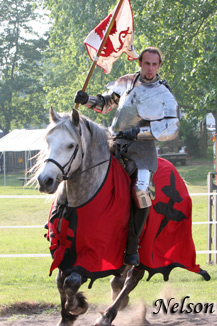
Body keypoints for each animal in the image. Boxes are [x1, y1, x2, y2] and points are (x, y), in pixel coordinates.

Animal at [35, 109, 142, 326]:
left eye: (71, 145)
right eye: (48, 141)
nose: (45, 180)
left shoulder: (93, 254)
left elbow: (71, 282)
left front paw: (76, 307)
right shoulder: (64, 250)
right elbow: (60, 281)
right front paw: (66, 316)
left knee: (133, 278)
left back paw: (108, 315)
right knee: (122, 277)